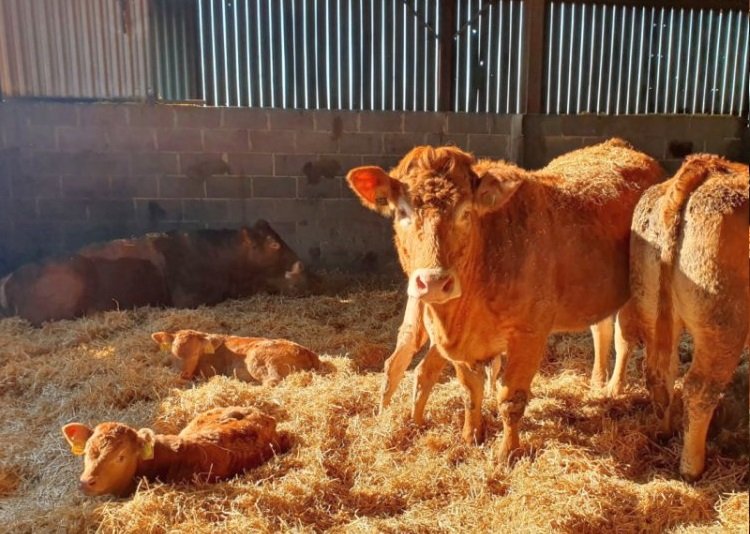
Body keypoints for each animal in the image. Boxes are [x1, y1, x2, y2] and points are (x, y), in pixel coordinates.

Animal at [153, 328, 320, 388]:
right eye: (173, 352)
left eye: (195, 353)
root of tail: (307, 351)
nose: (182, 374)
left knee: (272, 381)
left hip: (261, 361)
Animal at [346, 140, 664, 462]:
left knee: (625, 338)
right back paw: (598, 383)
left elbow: (511, 398)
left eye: (466, 212)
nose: (433, 281)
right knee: (601, 328)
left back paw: (613, 388)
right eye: (402, 212)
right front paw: (470, 437)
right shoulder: (456, 345)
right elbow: (470, 391)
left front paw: (506, 454)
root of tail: (618, 144)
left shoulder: (529, 335)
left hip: (636, 291)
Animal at [608, 156, 748, 482]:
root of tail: (704, 167)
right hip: (725, 326)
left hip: (652, 307)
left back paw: (665, 429)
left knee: (660, 372)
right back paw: (692, 467)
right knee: (699, 388)